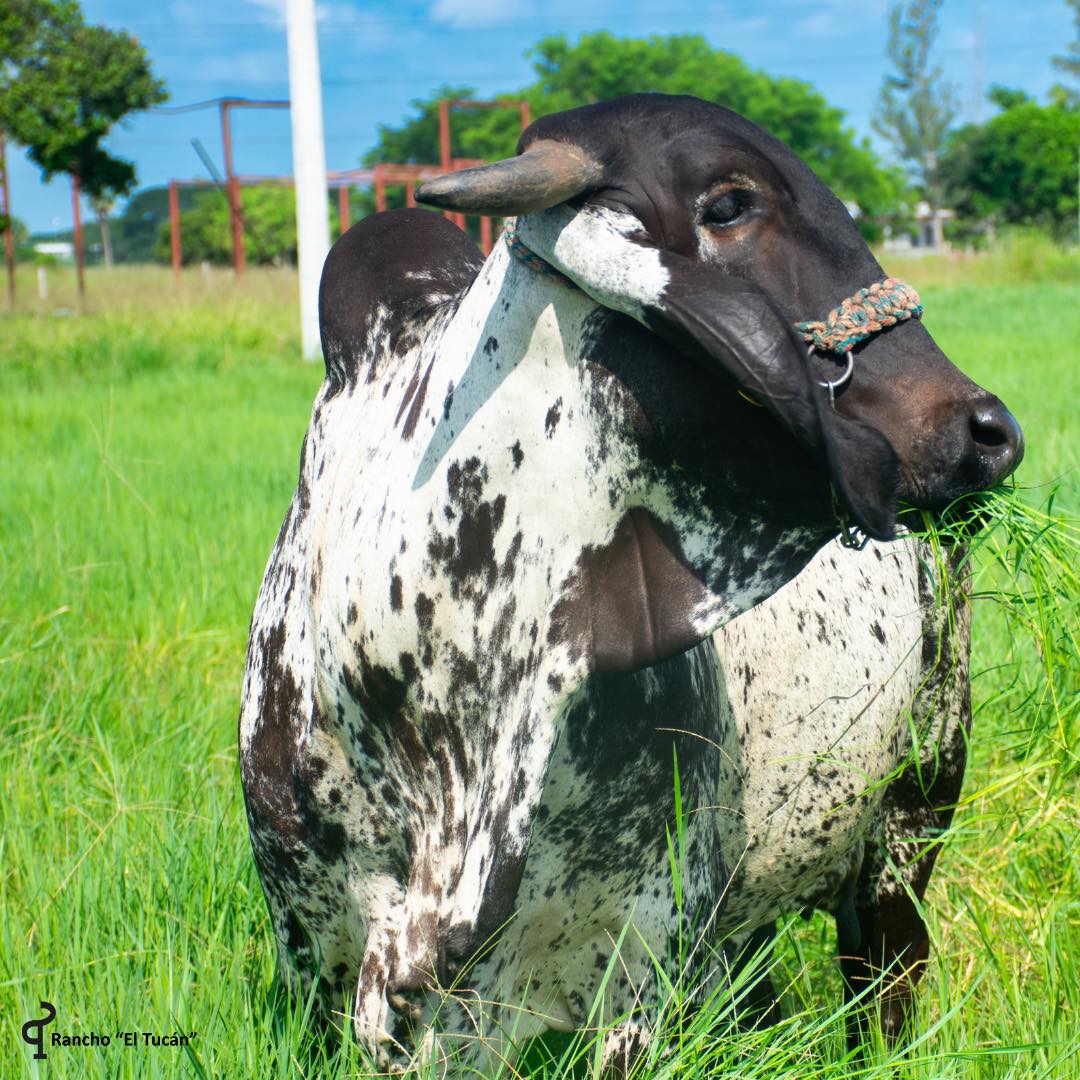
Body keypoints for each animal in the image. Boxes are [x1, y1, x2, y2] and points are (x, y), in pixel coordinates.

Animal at [240, 90, 1023, 1062]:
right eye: (729, 204)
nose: (986, 431)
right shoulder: (317, 965)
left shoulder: (643, 974)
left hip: (914, 810)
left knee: (883, 988)